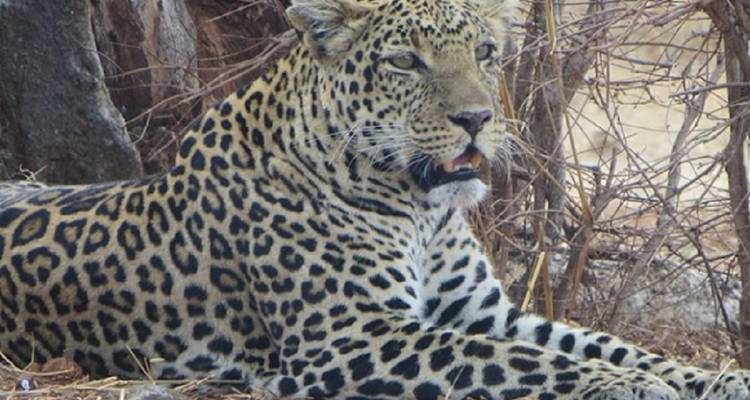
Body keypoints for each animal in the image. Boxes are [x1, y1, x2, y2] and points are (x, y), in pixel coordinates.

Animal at [0, 0, 748, 398]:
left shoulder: (486, 313)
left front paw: (707, 378)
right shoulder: (351, 334)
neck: (421, 211)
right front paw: (623, 388)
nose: (477, 118)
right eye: (404, 63)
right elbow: (524, 361)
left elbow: (603, 343)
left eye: (486, 52)